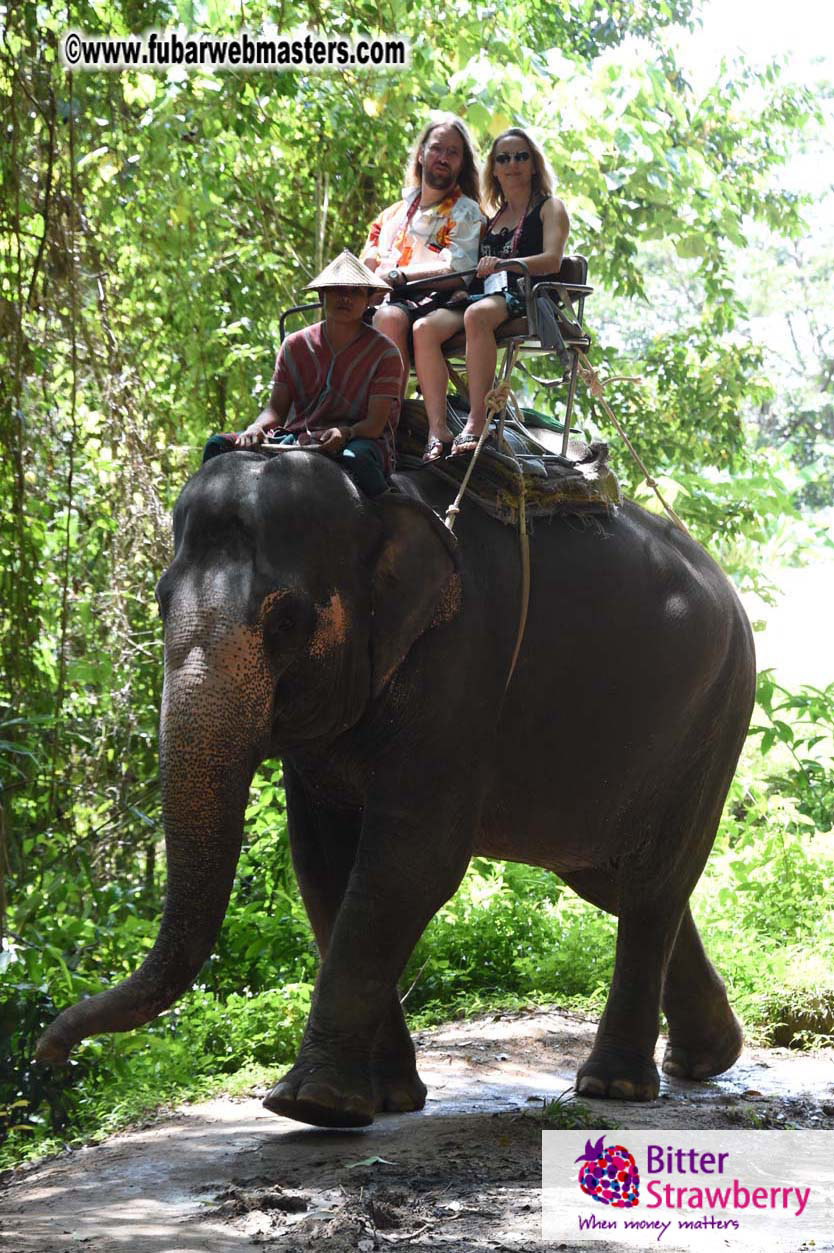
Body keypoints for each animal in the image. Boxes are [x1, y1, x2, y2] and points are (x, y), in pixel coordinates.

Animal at [36, 448, 756, 1128]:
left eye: (286, 620)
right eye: (160, 603)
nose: (52, 1052)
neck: (372, 497)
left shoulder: (464, 662)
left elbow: (409, 862)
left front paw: (309, 1103)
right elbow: (323, 865)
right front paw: (386, 1099)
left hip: (716, 716)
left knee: (654, 885)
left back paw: (615, 1086)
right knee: (613, 881)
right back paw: (706, 1057)